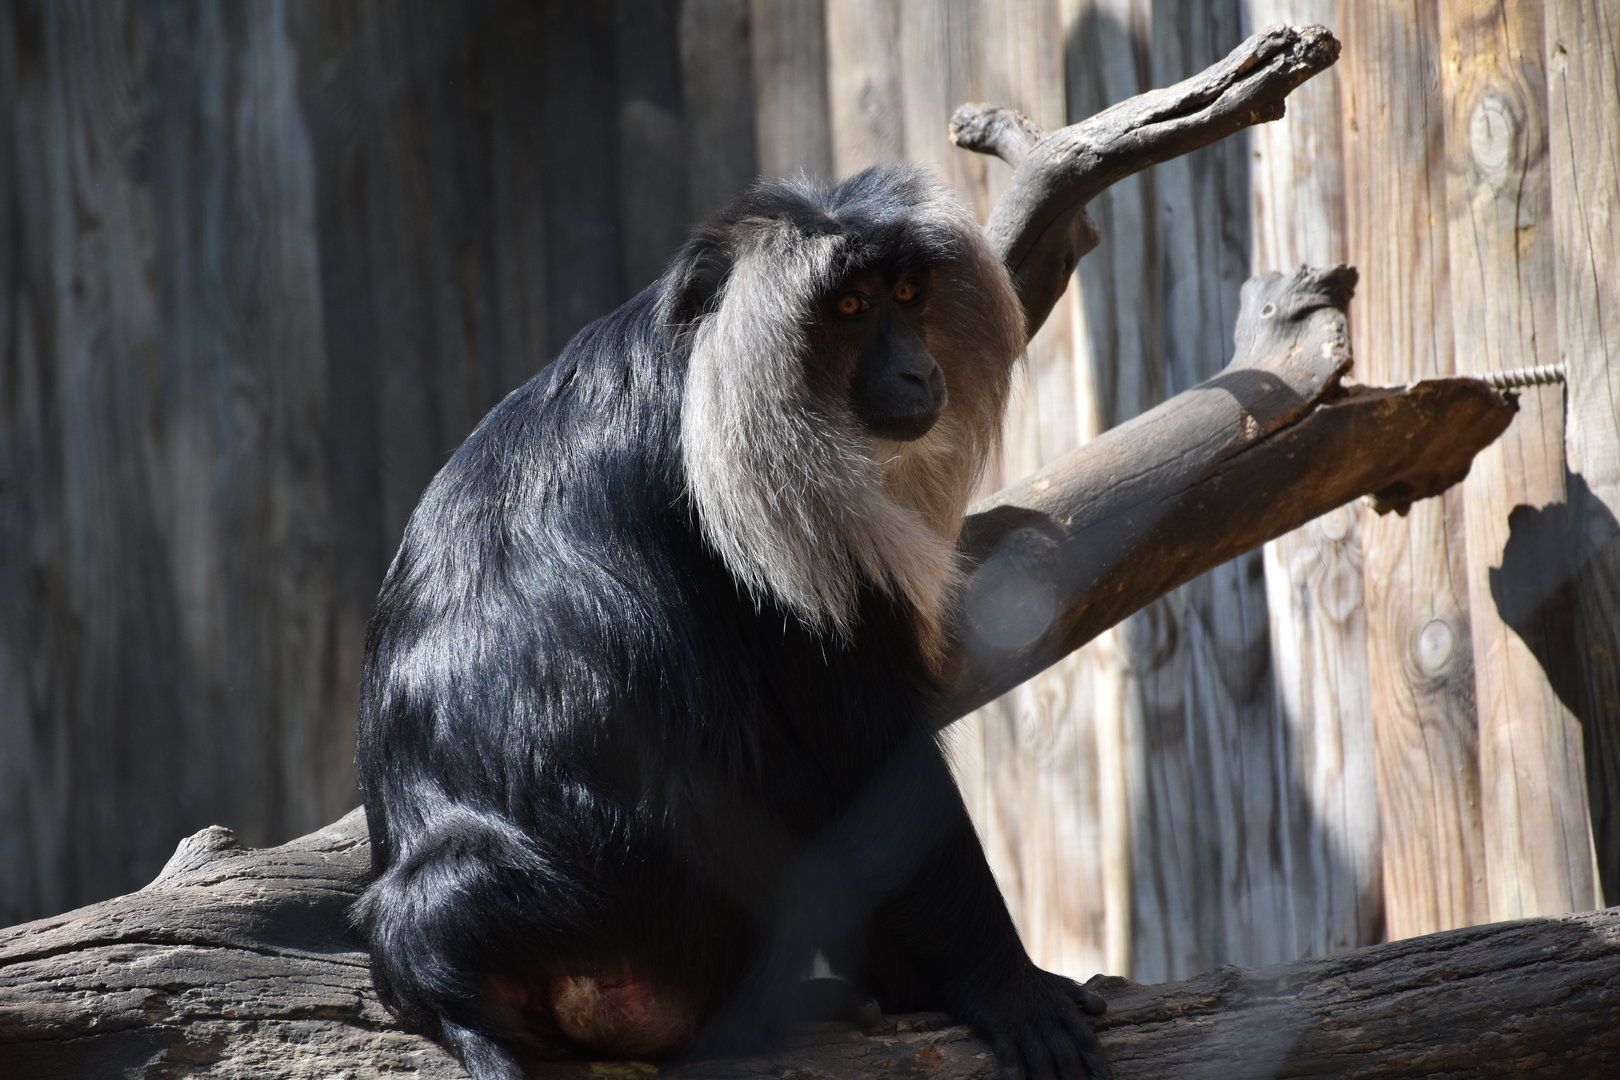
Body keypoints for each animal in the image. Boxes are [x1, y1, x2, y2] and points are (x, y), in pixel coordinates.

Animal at [352, 162, 1111, 1080]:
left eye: (906, 294)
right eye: (849, 309)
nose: (917, 373)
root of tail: (450, 966)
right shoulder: (768, 513)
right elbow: (872, 752)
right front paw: (1010, 988)